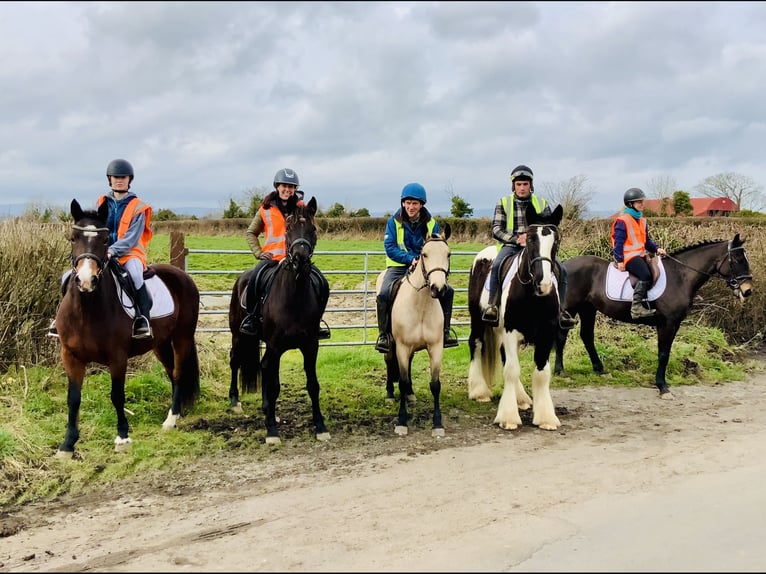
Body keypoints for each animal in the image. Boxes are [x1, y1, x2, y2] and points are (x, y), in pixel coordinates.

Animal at [228, 197, 330, 446]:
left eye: (313, 229)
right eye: (288, 228)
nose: (300, 259)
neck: (294, 297)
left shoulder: (310, 345)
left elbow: (312, 384)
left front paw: (320, 426)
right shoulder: (274, 346)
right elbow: (273, 385)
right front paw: (272, 431)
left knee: (264, 369)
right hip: (238, 335)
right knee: (235, 361)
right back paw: (235, 401)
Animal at [376, 224, 452, 436]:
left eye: (448, 254)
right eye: (424, 254)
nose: (438, 288)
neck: (421, 305)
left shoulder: (436, 347)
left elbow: (435, 385)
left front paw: (437, 424)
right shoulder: (401, 346)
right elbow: (401, 382)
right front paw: (402, 422)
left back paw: (410, 395)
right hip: (392, 344)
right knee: (389, 361)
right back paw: (389, 394)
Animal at [560, 232, 756, 398]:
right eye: (737, 259)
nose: (747, 291)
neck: (680, 276)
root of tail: (565, 265)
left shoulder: (675, 324)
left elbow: (666, 352)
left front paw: (662, 384)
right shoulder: (666, 324)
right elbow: (663, 354)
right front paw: (663, 387)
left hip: (587, 309)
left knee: (586, 335)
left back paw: (600, 370)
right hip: (571, 309)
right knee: (562, 335)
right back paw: (560, 371)